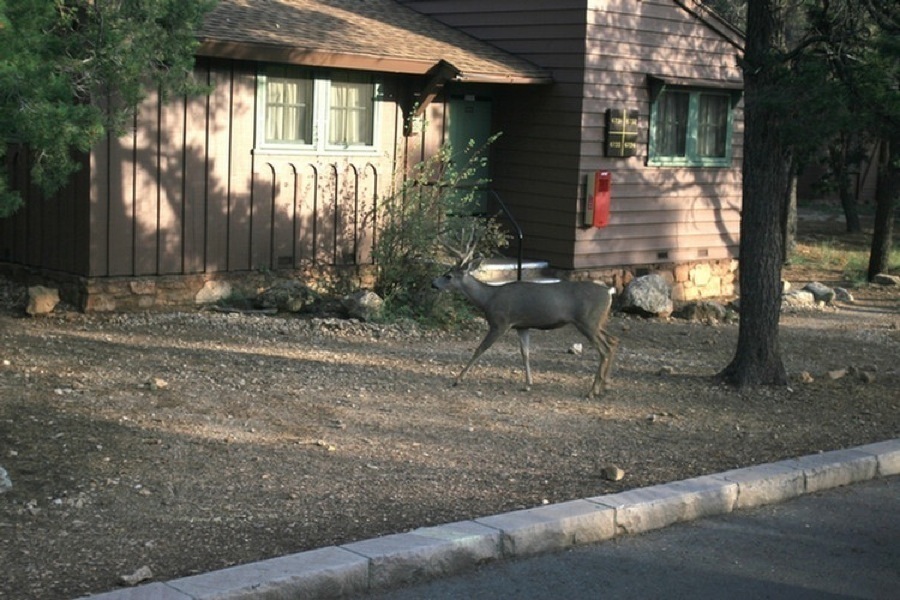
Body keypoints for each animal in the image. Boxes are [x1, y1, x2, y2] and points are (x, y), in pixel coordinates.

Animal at [434, 253, 620, 398]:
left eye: (448, 276)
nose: (433, 284)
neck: (488, 299)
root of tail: (609, 292)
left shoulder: (500, 323)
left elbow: (480, 349)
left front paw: (458, 379)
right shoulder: (522, 326)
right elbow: (525, 353)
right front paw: (528, 384)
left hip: (588, 322)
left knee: (604, 349)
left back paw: (592, 391)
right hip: (597, 322)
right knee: (613, 341)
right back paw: (604, 386)